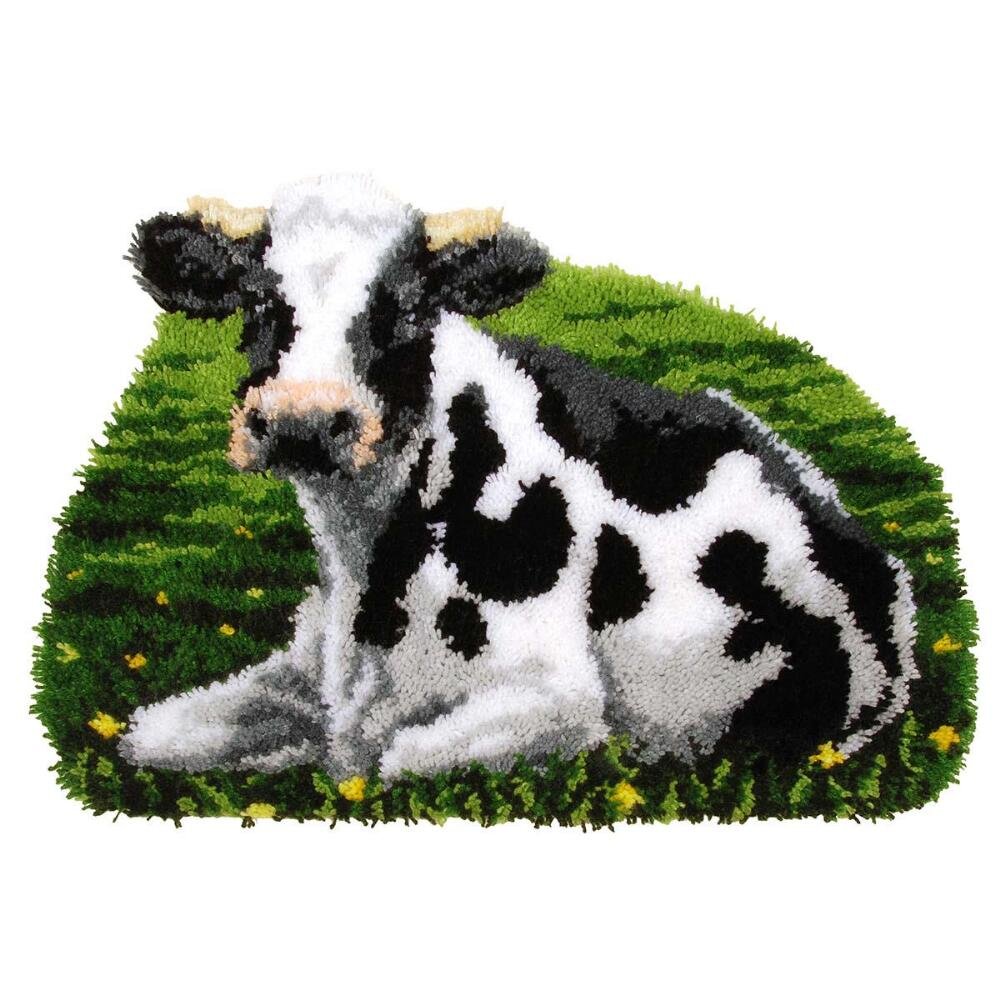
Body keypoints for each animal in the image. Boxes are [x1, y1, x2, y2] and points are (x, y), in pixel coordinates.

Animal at [119, 174, 917, 782]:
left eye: (408, 308)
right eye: (256, 301)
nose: (303, 421)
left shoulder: (558, 699)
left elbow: (390, 761)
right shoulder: (304, 669)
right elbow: (149, 734)